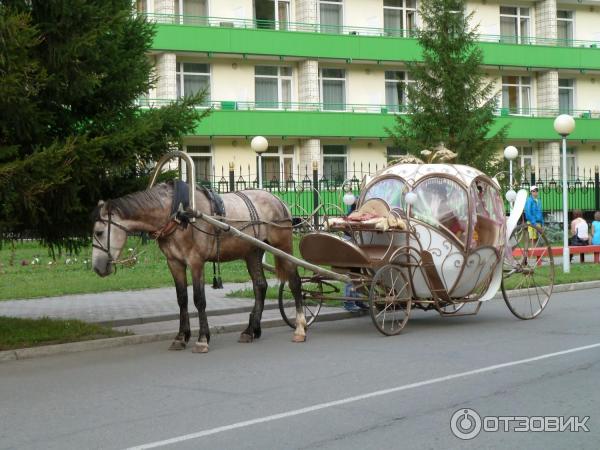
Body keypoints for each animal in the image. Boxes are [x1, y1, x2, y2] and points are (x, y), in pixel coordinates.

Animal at [91, 181, 308, 354]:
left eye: (99, 232)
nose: (97, 268)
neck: (179, 214)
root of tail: (278, 199)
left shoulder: (196, 262)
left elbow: (199, 299)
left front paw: (202, 339)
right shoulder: (174, 262)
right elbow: (182, 299)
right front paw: (181, 338)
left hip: (283, 246)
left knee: (295, 282)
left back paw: (300, 328)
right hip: (252, 253)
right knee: (260, 286)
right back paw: (251, 331)